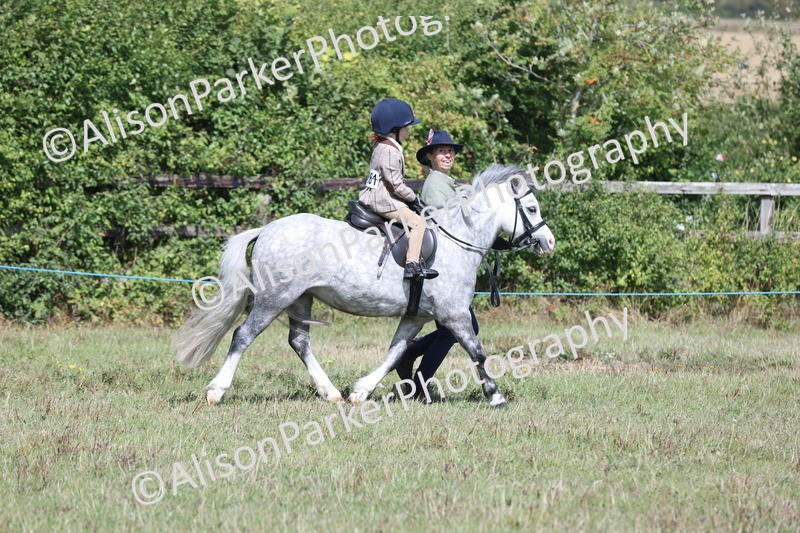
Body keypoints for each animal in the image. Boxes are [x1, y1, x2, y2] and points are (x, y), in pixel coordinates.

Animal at [173, 164, 555, 407]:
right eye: (532, 208)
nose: (549, 242)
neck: (457, 239)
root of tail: (266, 229)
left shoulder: (415, 316)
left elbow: (396, 351)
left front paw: (361, 392)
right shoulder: (455, 315)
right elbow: (477, 352)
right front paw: (496, 396)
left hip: (301, 299)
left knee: (299, 342)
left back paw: (330, 393)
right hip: (274, 298)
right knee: (243, 336)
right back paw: (216, 392)